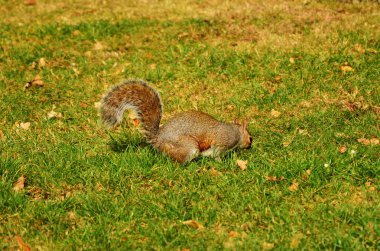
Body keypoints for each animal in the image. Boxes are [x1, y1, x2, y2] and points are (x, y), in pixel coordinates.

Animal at [100, 79, 252, 164]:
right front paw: (222, 163)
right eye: (250, 138)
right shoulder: (221, 142)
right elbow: (216, 154)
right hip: (187, 146)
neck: (235, 131)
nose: (250, 146)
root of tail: (158, 138)